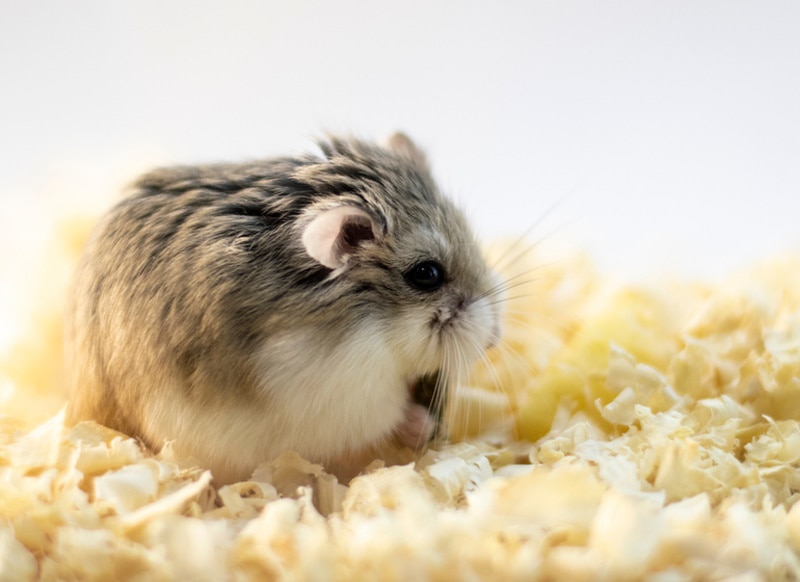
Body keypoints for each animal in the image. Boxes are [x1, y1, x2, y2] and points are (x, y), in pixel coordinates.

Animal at [64, 133, 503, 484]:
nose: (495, 339)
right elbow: (389, 416)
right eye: (426, 274)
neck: (371, 324)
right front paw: (421, 425)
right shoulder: (343, 395)